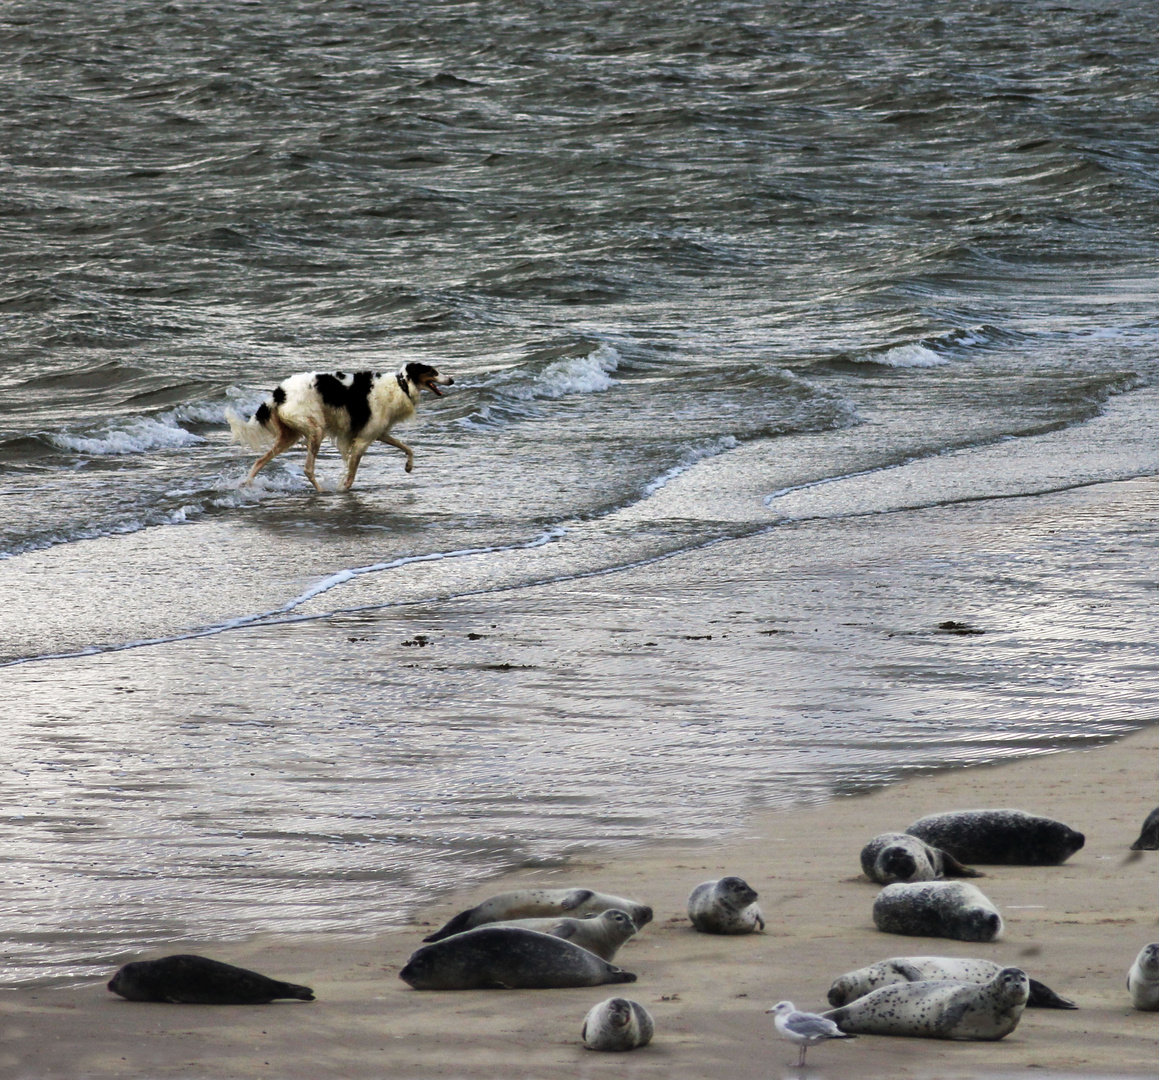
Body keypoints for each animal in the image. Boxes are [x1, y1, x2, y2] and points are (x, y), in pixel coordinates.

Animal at [226, 366, 452, 493]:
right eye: (433, 371)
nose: (452, 380)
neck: (401, 385)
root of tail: (278, 393)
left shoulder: (378, 433)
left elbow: (407, 448)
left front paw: (408, 467)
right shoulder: (362, 441)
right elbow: (350, 476)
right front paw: (342, 491)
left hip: (289, 436)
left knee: (259, 461)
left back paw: (247, 484)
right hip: (315, 431)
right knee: (308, 469)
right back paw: (321, 491)